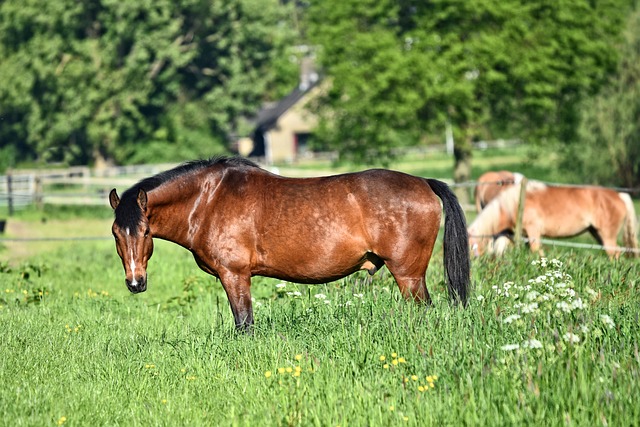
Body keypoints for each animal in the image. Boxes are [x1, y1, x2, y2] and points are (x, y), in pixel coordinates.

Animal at [468, 180, 636, 258]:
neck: (513, 204)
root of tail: (620, 195)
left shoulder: (533, 232)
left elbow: (537, 251)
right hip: (597, 234)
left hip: (607, 236)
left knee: (614, 253)